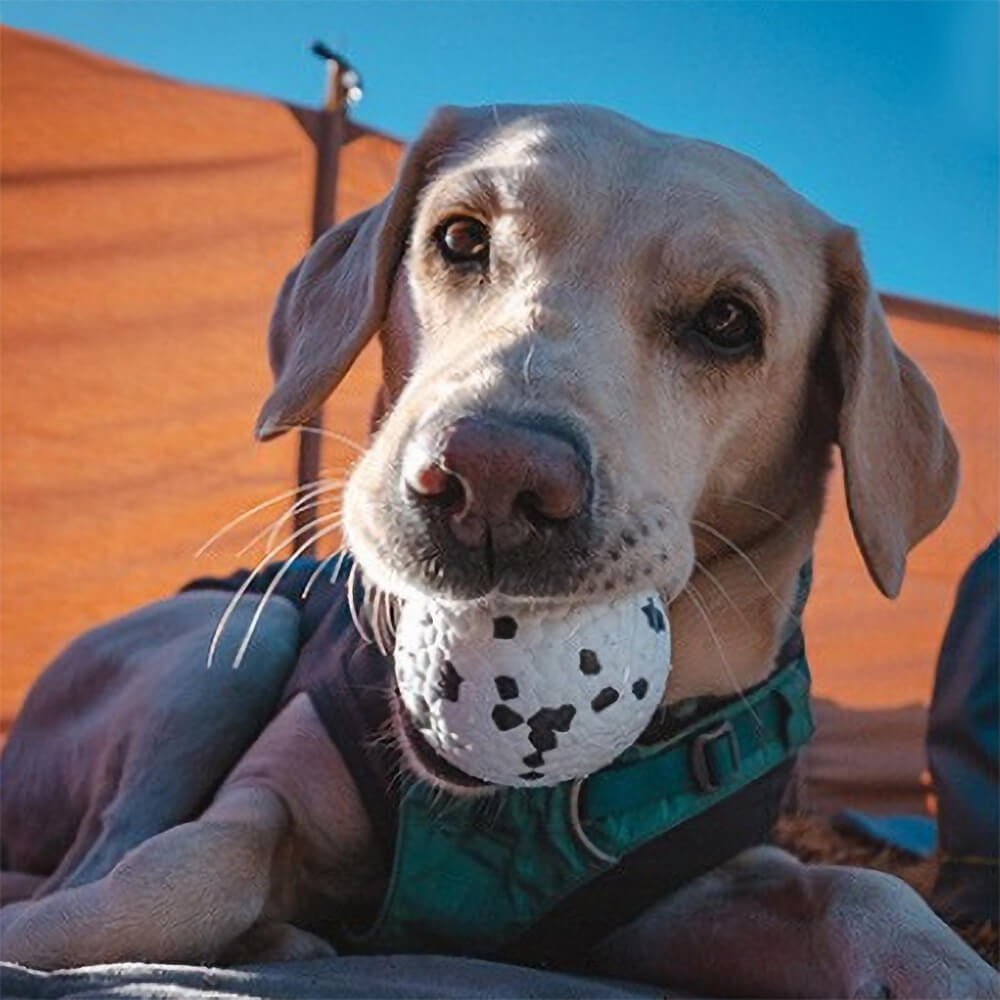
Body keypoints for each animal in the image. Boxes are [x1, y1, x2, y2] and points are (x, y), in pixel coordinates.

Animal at [1, 105, 1000, 996]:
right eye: (460, 238)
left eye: (727, 321)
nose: (490, 481)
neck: (499, 810)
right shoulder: (256, 807)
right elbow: (162, 883)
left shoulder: (666, 900)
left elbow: (865, 892)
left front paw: (945, 965)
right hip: (229, 642)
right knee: (101, 855)